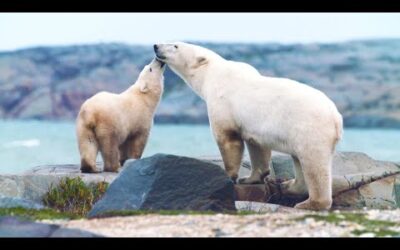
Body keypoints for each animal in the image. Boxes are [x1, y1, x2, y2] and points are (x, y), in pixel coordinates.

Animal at [155, 42, 342, 210]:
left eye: (175, 45)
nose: (156, 46)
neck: (212, 74)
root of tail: (336, 116)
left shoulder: (223, 102)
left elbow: (228, 139)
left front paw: (229, 176)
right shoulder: (254, 126)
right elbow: (257, 146)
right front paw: (250, 178)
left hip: (309, 128)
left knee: (313, 164)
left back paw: (310, 203)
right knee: (299, 160)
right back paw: (289, 186)